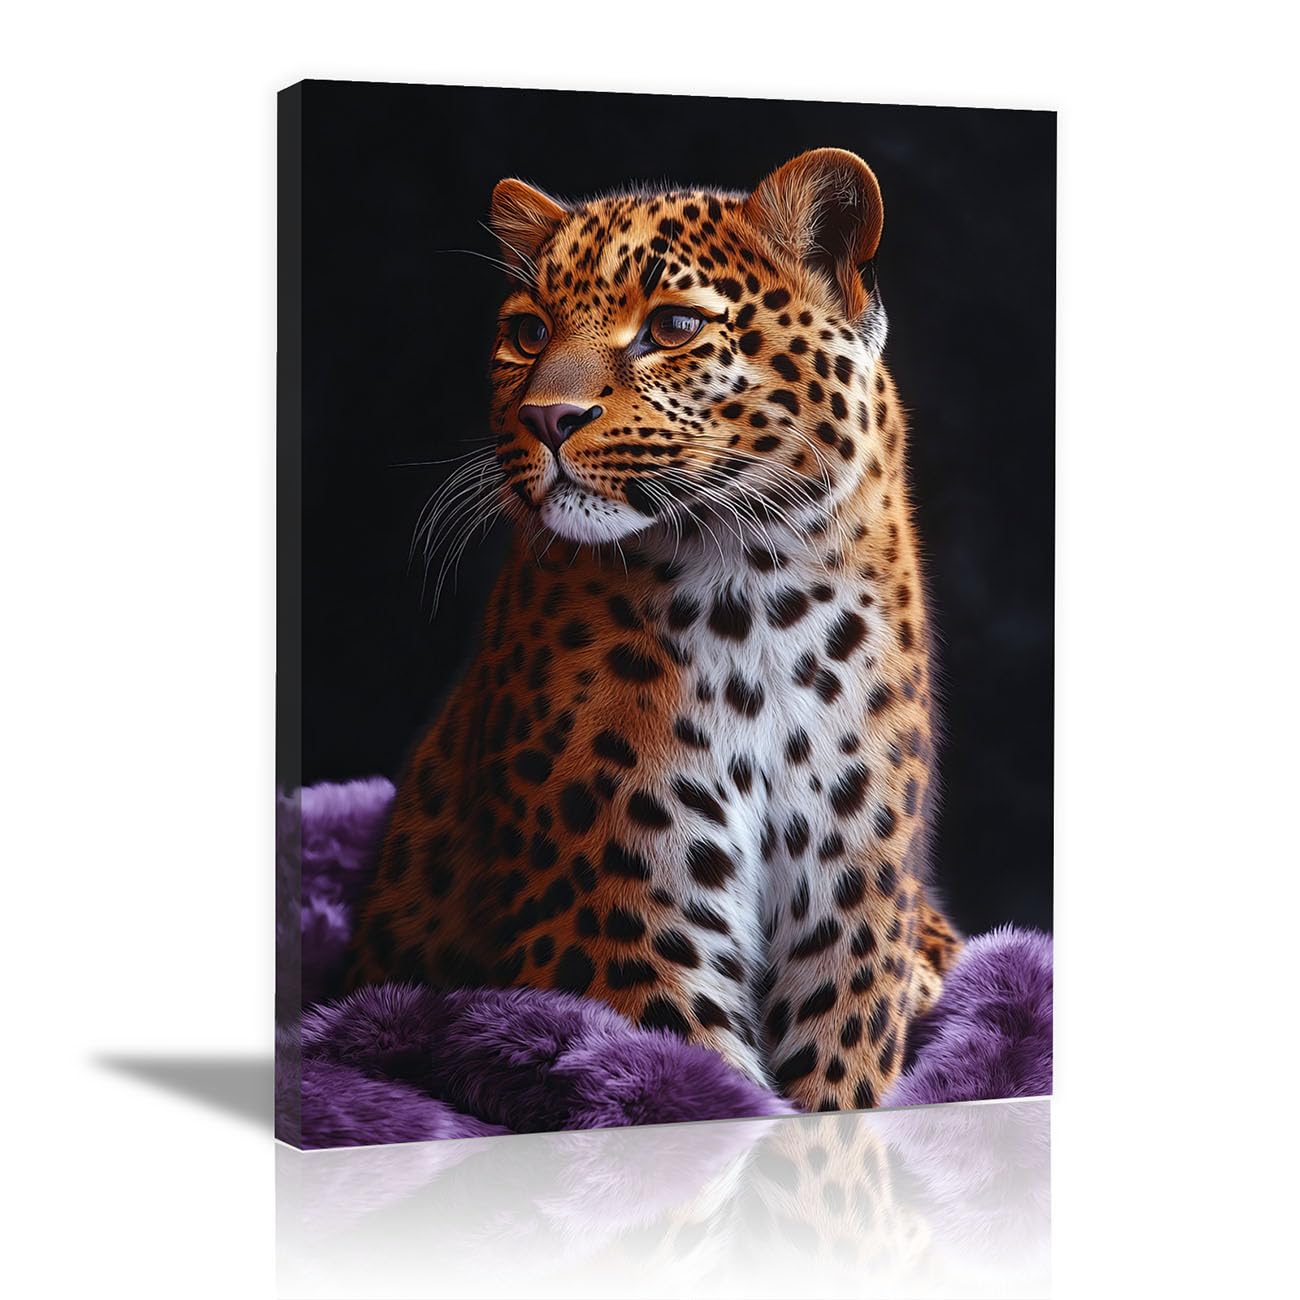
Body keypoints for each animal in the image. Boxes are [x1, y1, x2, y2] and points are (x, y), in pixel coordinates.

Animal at [346, 147, 964, 1114]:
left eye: (672, 326)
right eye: (529, 334)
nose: (547, 418)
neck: (755, 595)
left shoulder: (851, 902)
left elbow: (839, 1095)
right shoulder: (621, 909)